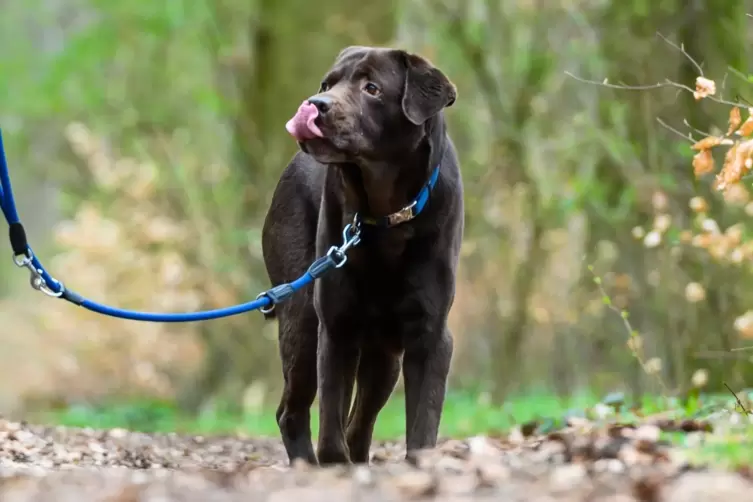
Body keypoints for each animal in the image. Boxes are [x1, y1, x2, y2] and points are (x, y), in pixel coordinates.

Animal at [264, 45, 464, 464]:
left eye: (372, 88)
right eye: (327, 84)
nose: (315, 104)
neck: (386, 216)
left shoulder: (430, 333)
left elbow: (422, 424)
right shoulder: (335, 326)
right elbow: (330, 427)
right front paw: (333, 464)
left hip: (385, 354)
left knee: (360, 421)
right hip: (303, 319)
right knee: (294, 411)